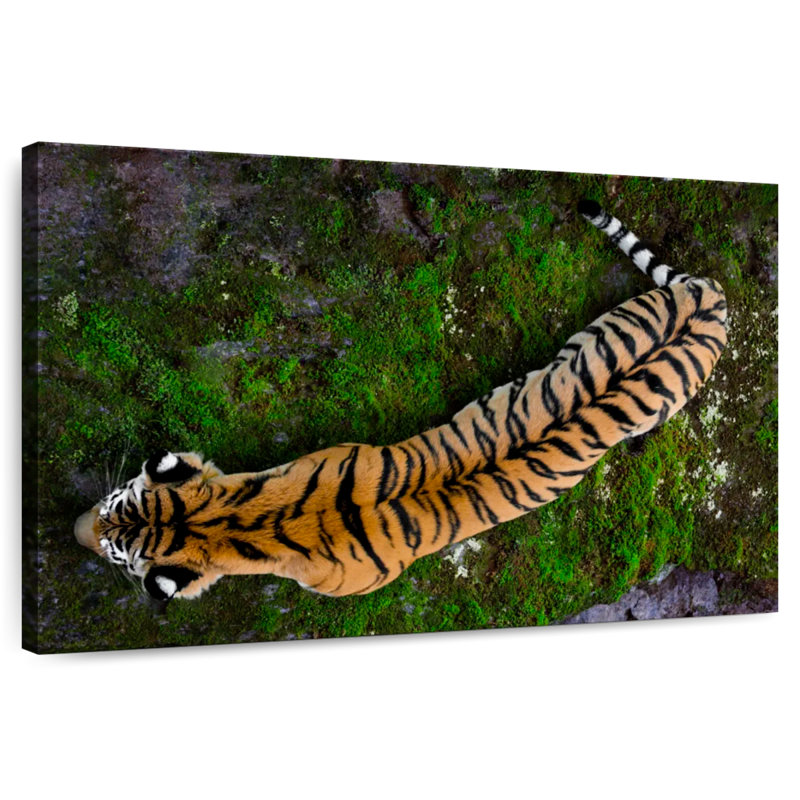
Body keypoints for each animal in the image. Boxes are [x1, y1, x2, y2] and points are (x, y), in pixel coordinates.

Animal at [74, 199, 728, 602]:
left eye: (114, 554)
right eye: (110, 502)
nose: (73, 528)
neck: (235, 518)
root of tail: (711, 295)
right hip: (593, 332)